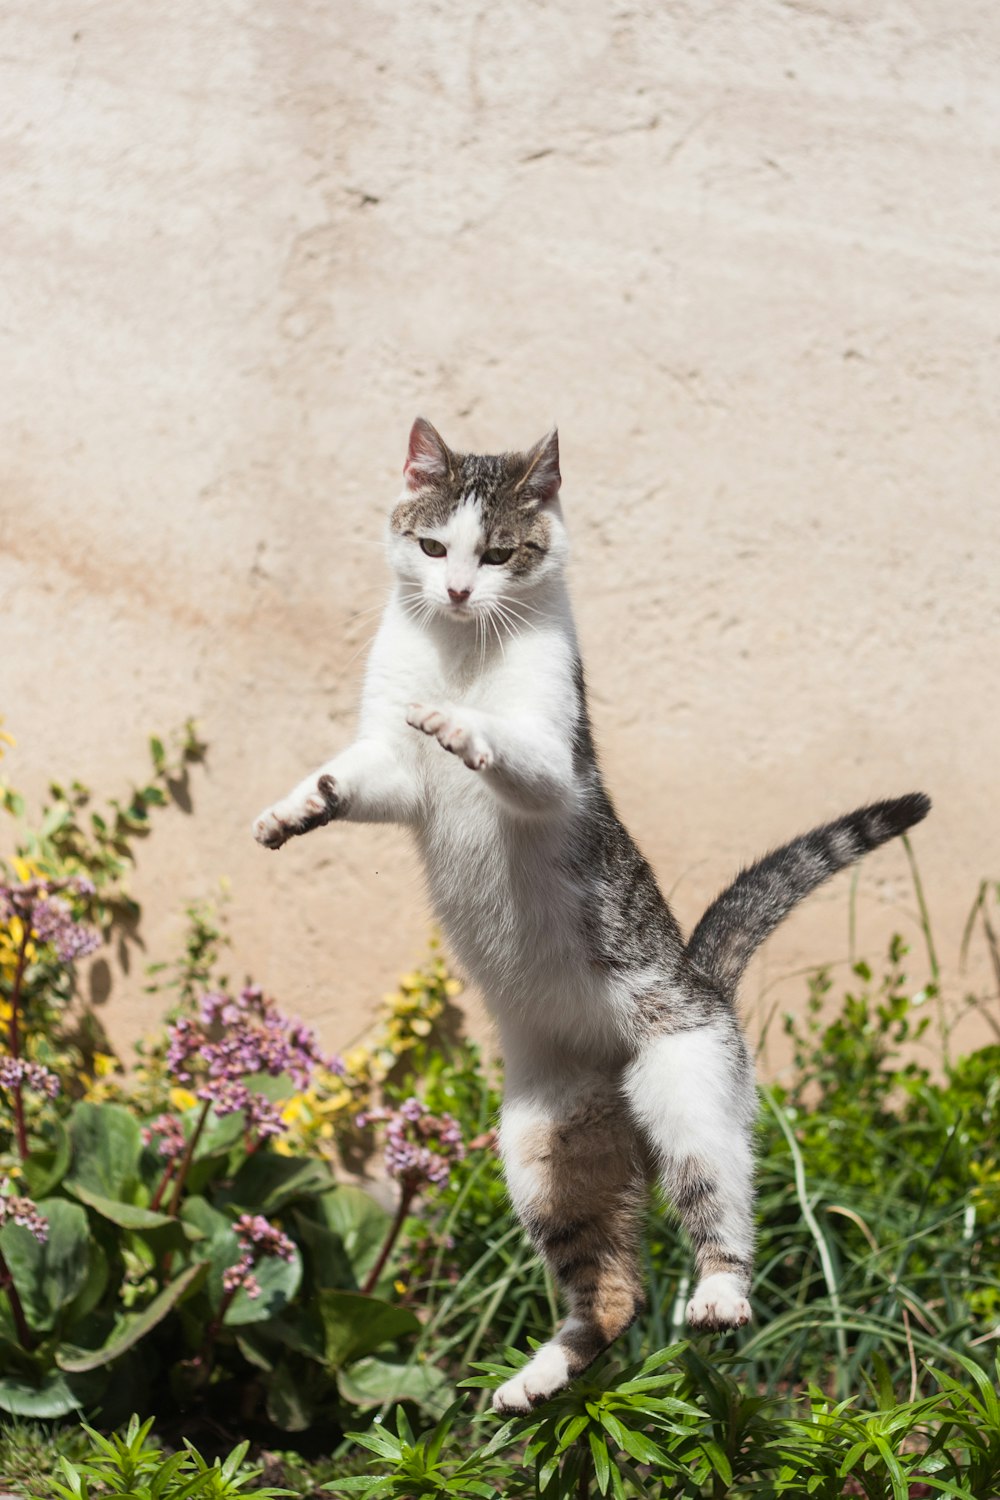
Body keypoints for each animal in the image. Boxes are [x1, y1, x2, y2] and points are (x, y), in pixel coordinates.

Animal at [250, 423, 929, 1416]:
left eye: (499, 554)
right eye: (433, 548)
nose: (459, 592)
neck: (463, 649)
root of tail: (702, 977)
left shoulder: (551, 765)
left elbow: (507, 748)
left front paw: (459, 725)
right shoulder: (392, 773)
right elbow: (348, 778)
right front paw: (289, 812)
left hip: (688, 1096)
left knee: (721, 1211)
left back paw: (718, 1296)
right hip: (545, 1155)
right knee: (610, 1294)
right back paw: (534, 1382)